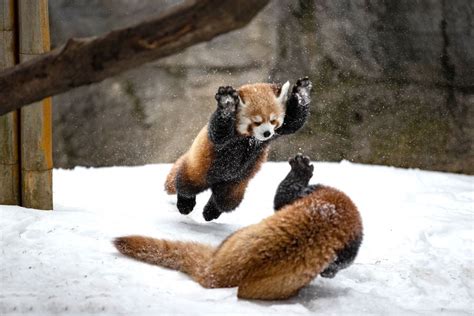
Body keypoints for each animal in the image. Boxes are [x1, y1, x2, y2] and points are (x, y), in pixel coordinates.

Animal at [165, 77, 312, 220]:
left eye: (272, 120)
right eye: (257, 122)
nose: (267, 133)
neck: (250, 138)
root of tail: (213, 182)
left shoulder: (277, 132)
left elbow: (294, 123)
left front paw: (302, 92)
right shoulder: (224, 138)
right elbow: (219, 134)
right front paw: (227, 102)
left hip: (235, 183)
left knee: (226, 201)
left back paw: (210, 212)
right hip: (199, 168)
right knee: (186, 185)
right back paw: (185, 204)